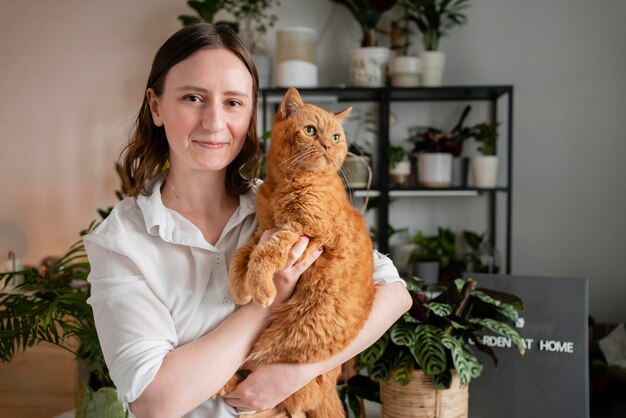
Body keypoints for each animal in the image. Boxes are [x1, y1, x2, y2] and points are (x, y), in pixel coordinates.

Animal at [225, 87, 376, 414]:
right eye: (310, 131)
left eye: (336, 137)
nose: (327, 145)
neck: (283, 184)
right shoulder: (263, 229)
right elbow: (241, 256)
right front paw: (240, 289)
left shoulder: (302, 231)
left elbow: (264, 255)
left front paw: (261, 289)